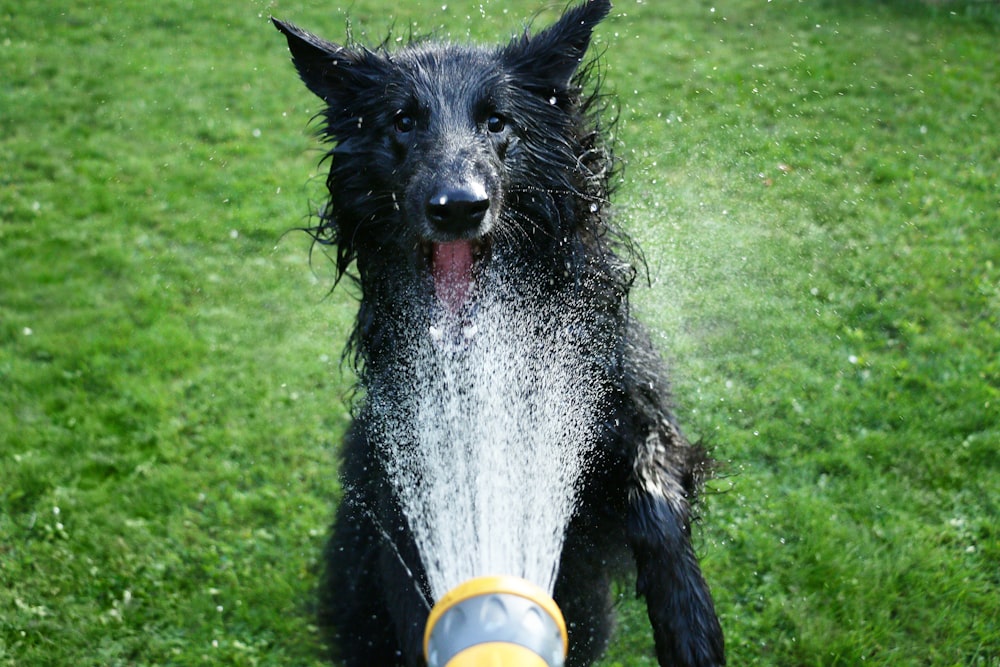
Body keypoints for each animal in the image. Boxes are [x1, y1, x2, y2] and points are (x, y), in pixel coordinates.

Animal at [274, 2, 728, 664]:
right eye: (403, 120)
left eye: (496, 122)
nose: (459, 206)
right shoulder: (415, 472)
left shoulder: (620, 399)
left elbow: (655, 485)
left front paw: (690, 622)